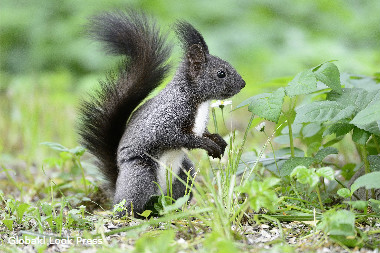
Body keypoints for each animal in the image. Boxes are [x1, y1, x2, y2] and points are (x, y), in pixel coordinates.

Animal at [78, 10, 246, 215]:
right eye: (221, 73)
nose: (243, 84)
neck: (198, 101)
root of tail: (118, 187)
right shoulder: (165, 119)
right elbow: (176, 137)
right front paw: (207, 144)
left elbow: (205, 132)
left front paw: (218, 141)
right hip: (141, 175)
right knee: (129, 205)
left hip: (185, 172)